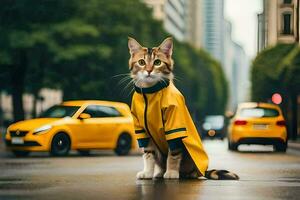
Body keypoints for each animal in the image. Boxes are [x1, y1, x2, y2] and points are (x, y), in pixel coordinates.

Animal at [127, 36, 239, 180]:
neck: (150, 93)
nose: (149, 70)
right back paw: (160, 172)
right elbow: (148, 154)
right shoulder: (143, 130)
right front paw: (147, 172)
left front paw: (171, 172)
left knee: (191, 170)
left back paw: (185, 174)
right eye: (141, 62)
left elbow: (173, 154)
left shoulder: (174, 127)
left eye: (157, 62)